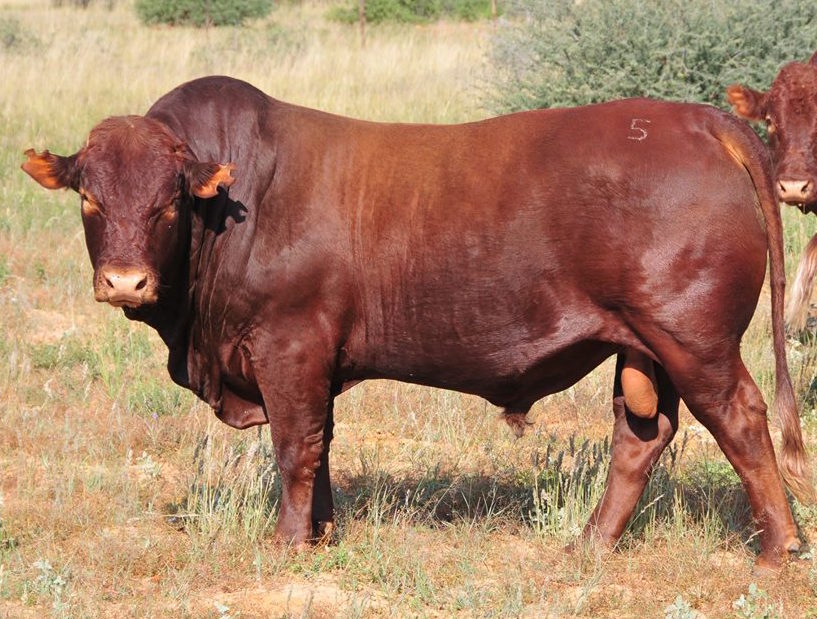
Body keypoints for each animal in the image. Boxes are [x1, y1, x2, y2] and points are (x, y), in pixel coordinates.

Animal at [23, 76, 813, 569]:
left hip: (694, 339)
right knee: (640, 437)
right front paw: (323, 533)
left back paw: (778, 548)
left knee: (741, 420)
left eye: (167, 204)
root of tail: (700, 119)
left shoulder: (289, 345)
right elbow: (322, 447)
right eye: (90, 199)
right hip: (643, 346)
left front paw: (286, 542)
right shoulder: (316, 362)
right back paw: (588, 545)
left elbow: (294, 448)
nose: (125, 281)